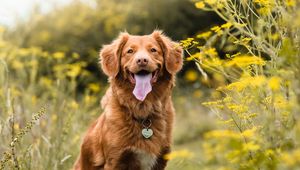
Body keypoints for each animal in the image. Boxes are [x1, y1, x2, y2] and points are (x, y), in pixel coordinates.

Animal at [74, 30, 183, 170]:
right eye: (130, 51)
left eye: (153, 50)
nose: (142, 60)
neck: (143, 109)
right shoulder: (115, 161)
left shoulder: (160, 160)